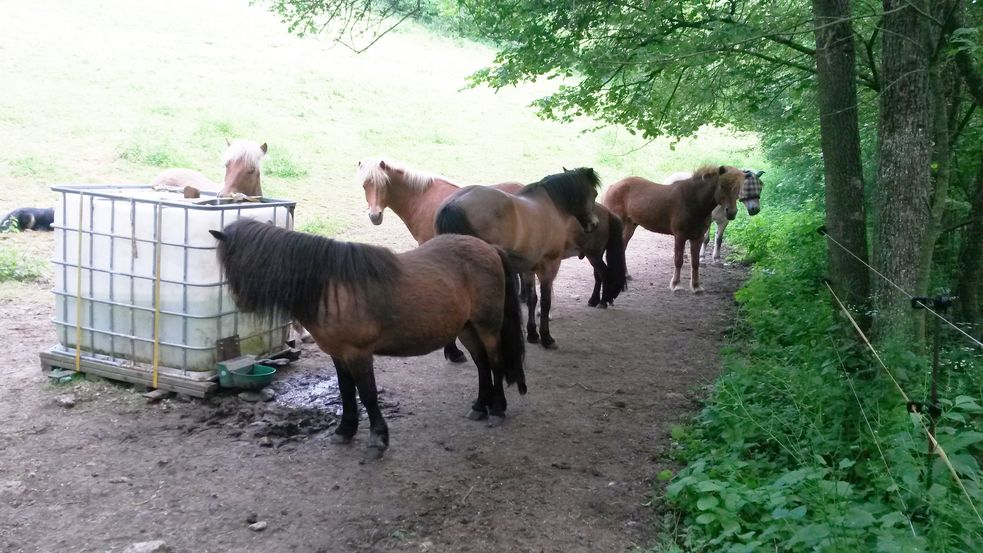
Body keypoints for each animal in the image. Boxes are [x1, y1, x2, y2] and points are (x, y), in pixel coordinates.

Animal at [211, 218, 528, 460]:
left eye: (235, 261)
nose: (240, 303)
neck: (329, 288)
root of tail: (489, 248)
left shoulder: (358, 353)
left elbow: (367, 393)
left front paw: (378, 439)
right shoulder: (338, 354)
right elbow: (345, 391)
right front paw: (345, 430)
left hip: (487, 327)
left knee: (495, 362)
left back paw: (497, 409)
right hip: (466, 329)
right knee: (482, 364)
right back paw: (479, 407)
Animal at [436, 167, 600, 350]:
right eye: (594, 194)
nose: (594, 224)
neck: (551, 206)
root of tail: (454, 203)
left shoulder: (529, 268)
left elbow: (531, 299)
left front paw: (533, 334)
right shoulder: (549, 266)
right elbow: (545, 301)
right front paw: (546, 337)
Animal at [604, 165, 740, 292]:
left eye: (738, 188)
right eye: (722, 186)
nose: (732, 213)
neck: (692, 200)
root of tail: (613, 186)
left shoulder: (698, 237)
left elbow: (695, 262)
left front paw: (696, 286)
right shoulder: (680, 236)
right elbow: (678, 260)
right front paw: (676, 284)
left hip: (630, 226)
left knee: (622, 247)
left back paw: (625, 275)